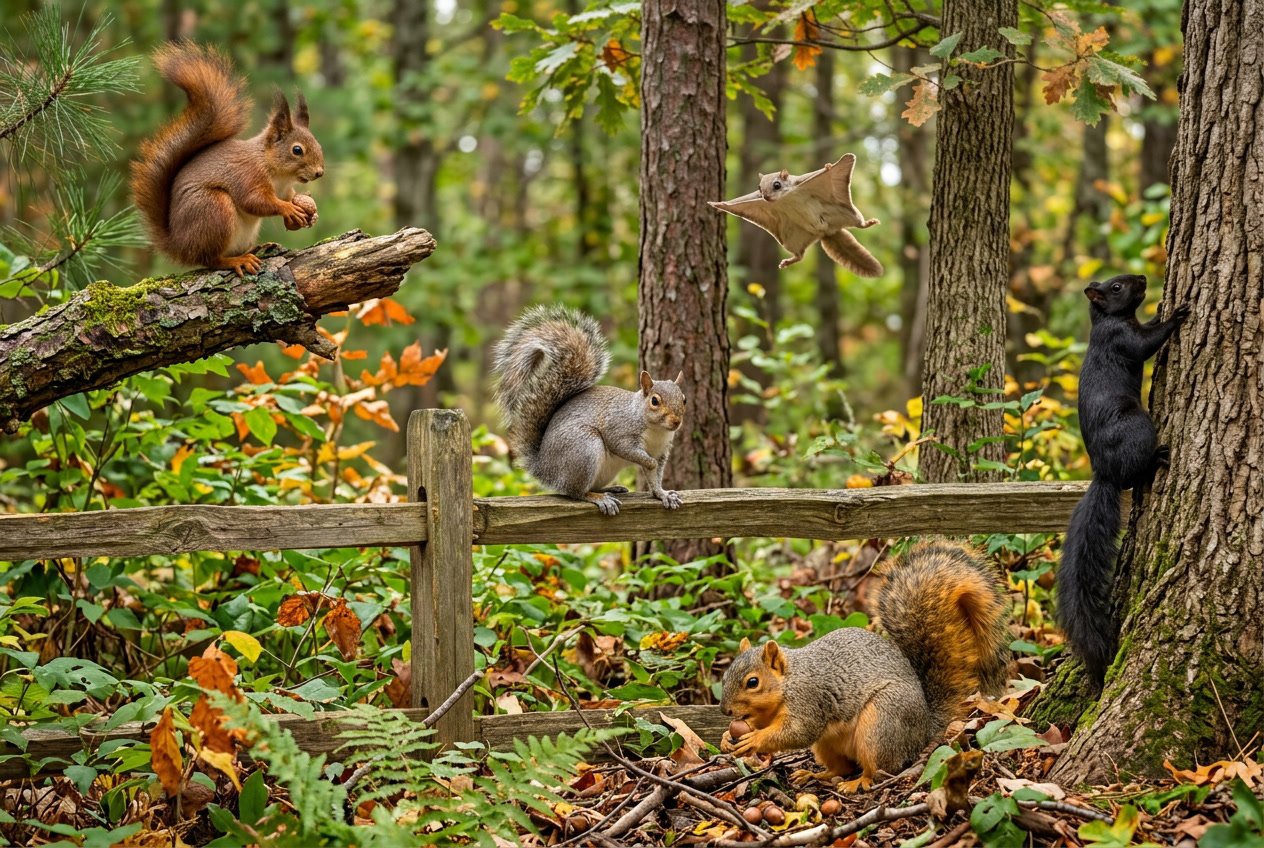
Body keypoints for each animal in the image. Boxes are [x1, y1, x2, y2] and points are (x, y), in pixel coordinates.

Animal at [130, 43, 324, 277]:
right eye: (297, 150)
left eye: (318, 144)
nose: (319, 172)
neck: (278, 173)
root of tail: (180, 245)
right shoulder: (248, 175)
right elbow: (255, 201)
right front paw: (288, 209)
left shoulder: (285, 189)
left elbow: (288, 197)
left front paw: (306, 211)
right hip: (213, 210)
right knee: (211, 259)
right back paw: (237, 260)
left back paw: (258, 248)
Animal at [492, 305, 686, 516]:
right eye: (654, 401)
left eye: (684, 399)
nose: (676, 422)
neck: (656, 430)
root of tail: (544, 467)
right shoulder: (620, 429)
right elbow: (627, 450)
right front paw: (649, 463)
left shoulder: (661, 451)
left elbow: (654, 477)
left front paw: (663, 494)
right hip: (584, 448)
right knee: (576, 492)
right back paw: (599, 498)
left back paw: (611, 489)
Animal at [720, 541, 1010, 791]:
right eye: (724, 677)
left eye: (753, 682)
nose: (725, 710)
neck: (788, 681)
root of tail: (923, 730)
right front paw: (727, 737)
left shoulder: (809, 699)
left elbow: (798, 732)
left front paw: (755, 739)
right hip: (827, 745)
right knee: (842, 768)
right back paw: (816, 775)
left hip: (881, 722)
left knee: (879, 769)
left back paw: (858, 782)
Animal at [1057, 274, 1189, 685]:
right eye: (1116, 288)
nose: (1143, 279)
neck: (1107, 320)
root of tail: (1105, 473)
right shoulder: (1120, 337)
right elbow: (1146, 344)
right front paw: (1175, 314)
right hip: (1137, 425)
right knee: (1135, 474)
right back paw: (1157, 459)